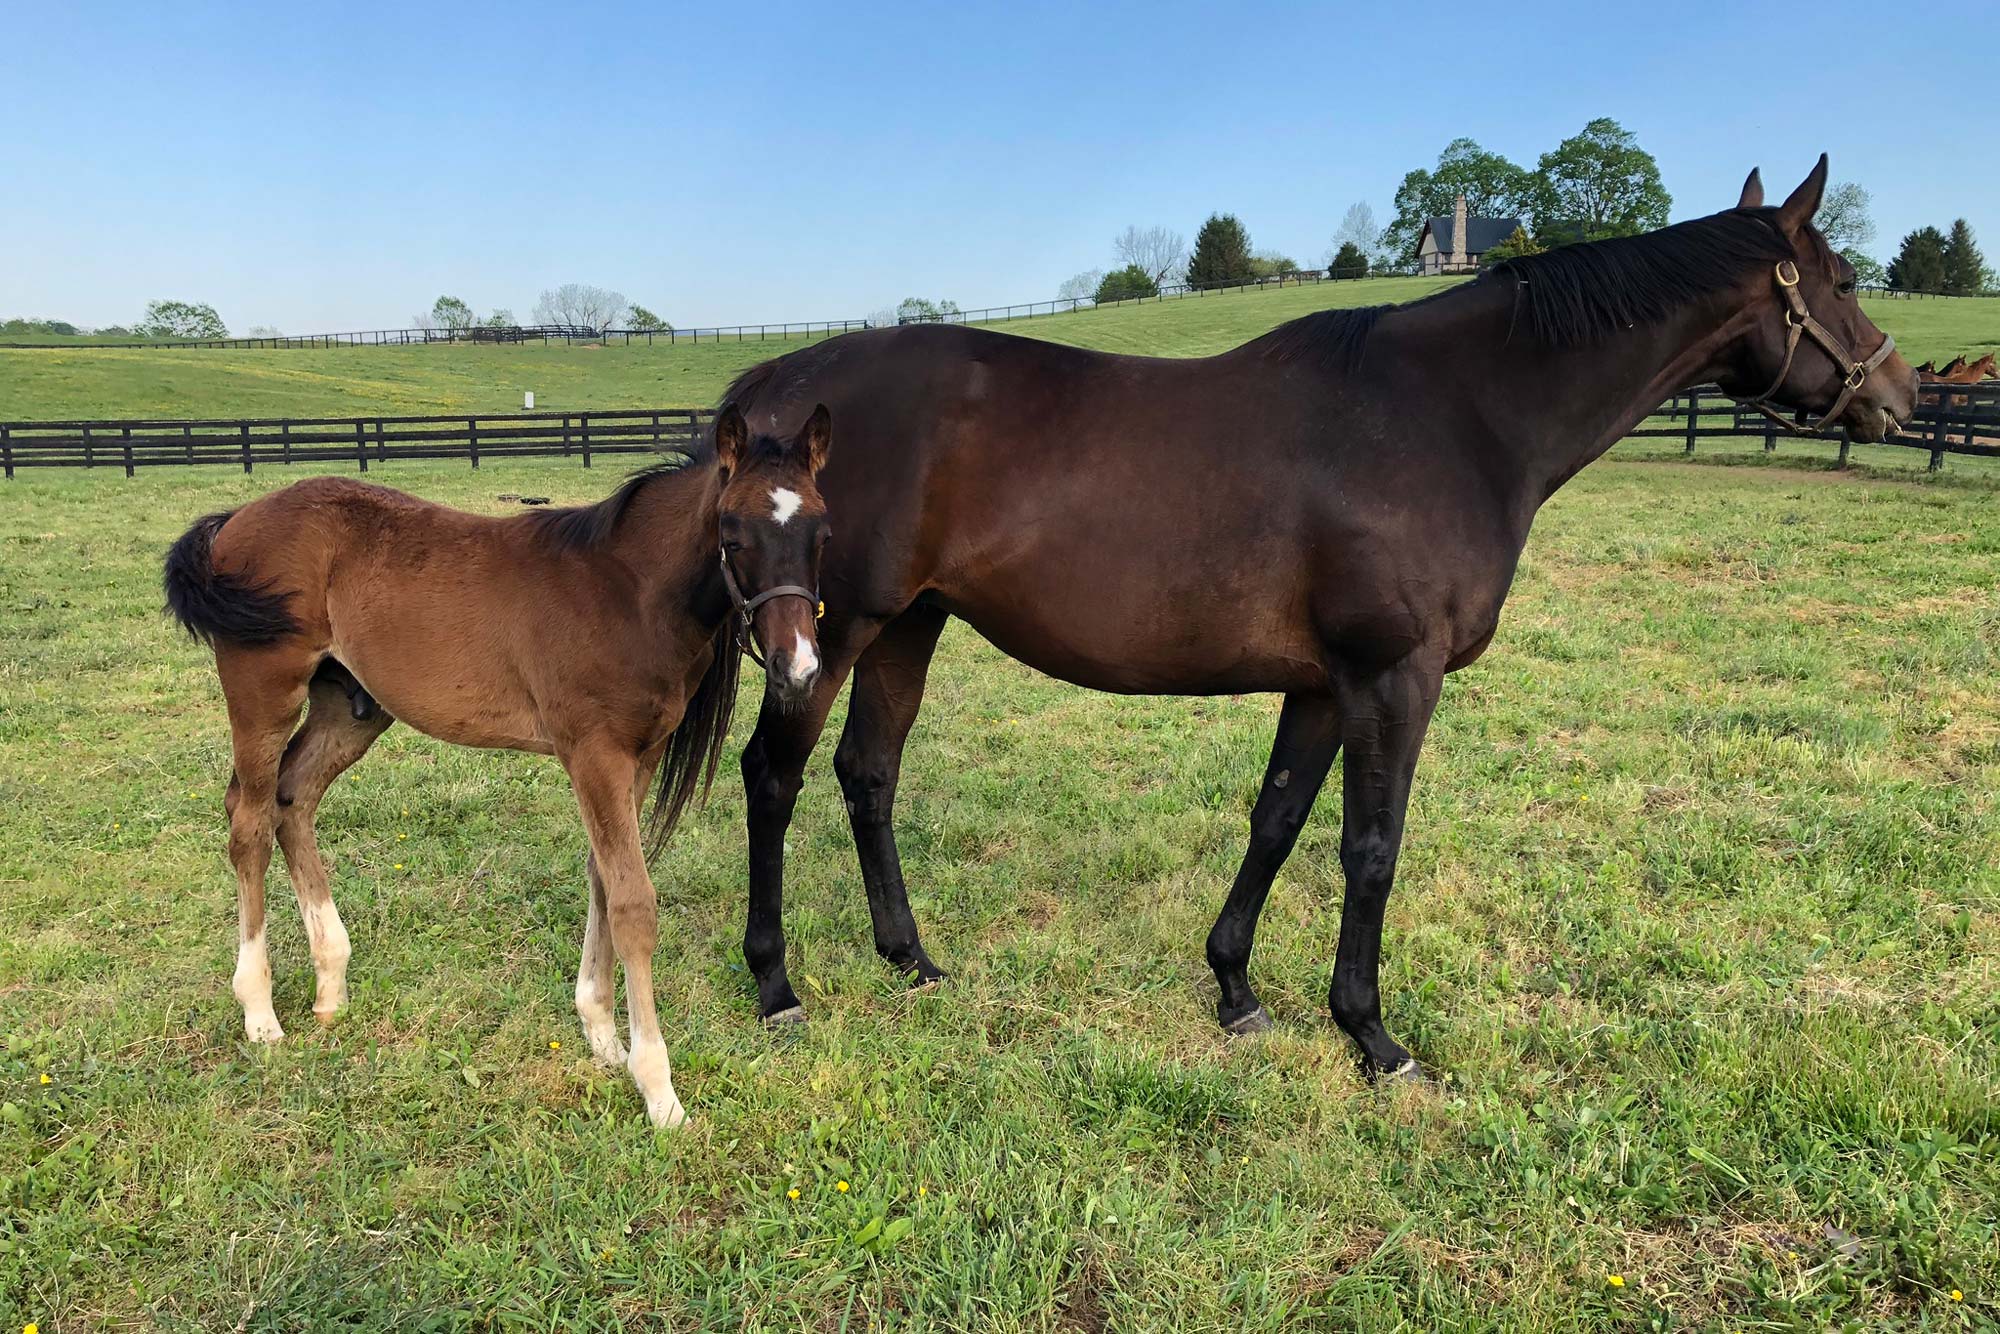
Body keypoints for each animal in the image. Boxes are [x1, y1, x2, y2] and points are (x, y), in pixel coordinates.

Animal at [160, 408, 836, 1128]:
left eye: (822, 532)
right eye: (733, 533)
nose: (799, 668)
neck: (627, 591)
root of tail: (235, 519)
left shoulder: (641, 755)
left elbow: (602, 877)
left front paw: (602, 1036)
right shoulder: (594, 751)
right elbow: (632, 901)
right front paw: (658, 1089)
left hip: (350, 706)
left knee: (294, 799)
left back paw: (330, 984)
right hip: (263, 691)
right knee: (250, 822)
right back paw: (260, 1013)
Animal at [712, 157, 1912, 1080]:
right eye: (1844, 278)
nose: (1898, 395)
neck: (1453, 415)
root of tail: (783, 384)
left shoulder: (1321, 683)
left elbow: (1278, 819)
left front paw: (1236, 987)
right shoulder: (1394, 674)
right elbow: (1369, 848)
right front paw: (1372, 1036)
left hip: (909, 626)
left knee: (867, 774)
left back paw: (910, 960)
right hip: (828, 634)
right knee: (771, 776)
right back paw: (776, 983)